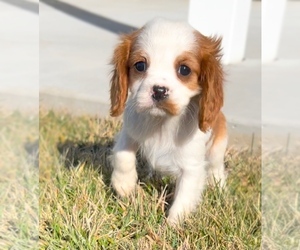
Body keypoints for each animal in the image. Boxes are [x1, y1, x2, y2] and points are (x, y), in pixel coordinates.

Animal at [110, 18, 227, 224]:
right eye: (140, 66)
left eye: (184, 70)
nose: (158, 90)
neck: (161, 122)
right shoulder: (130, 130)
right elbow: (123, 154)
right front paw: (124, 185)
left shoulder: (192, 167)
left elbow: (183, 199)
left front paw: (171, 226)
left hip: (218, 144)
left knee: (216, 165)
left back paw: (218, 184)